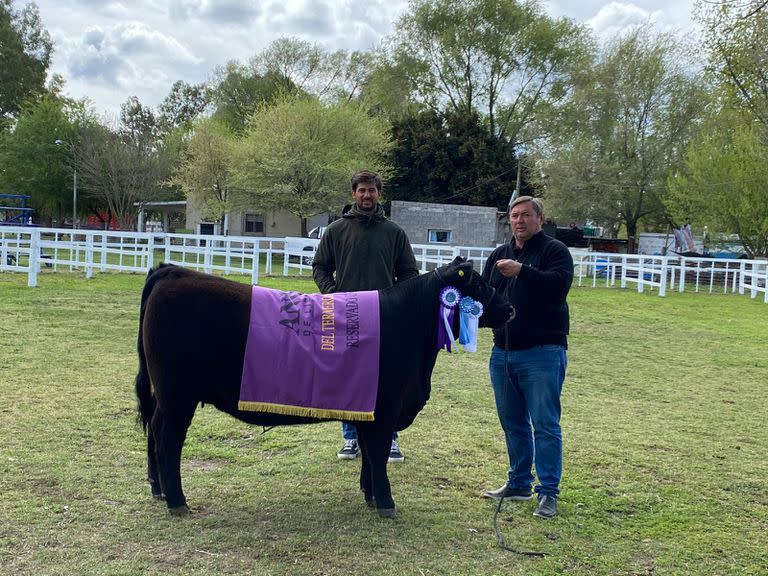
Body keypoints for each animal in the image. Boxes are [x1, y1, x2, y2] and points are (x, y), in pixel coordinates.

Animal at [136, 256, 512, 516]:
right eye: (479, 285)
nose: (509, 308)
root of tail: (173, 271)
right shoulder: (386, 408)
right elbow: (377, 453)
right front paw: (386, 502)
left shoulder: (368, 408)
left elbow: (369, 456)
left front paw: (370, 495)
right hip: (177, 396)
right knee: (168, 440)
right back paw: (177, 501)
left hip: (165, 396)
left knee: (153, 432)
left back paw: (158, 489)